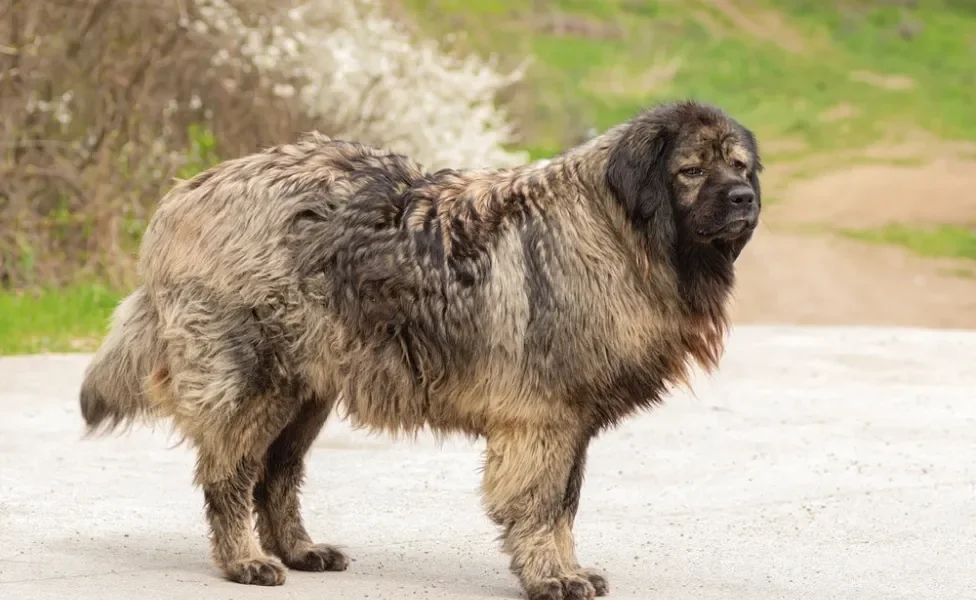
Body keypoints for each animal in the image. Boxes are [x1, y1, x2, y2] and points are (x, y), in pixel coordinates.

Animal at [80, 101, 764, 596]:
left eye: (739, 166)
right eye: (692, 170)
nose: (744, 199)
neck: (615, 233)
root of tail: (186, 192)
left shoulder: (570, 425)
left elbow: (565, 503)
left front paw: (565, 568)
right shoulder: (545, 420)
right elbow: (543, 506)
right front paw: (550, 575)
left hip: (307, 392)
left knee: (277, 476)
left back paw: (299, 550)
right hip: (252, 382)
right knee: (230, 474)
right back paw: (243, 562)